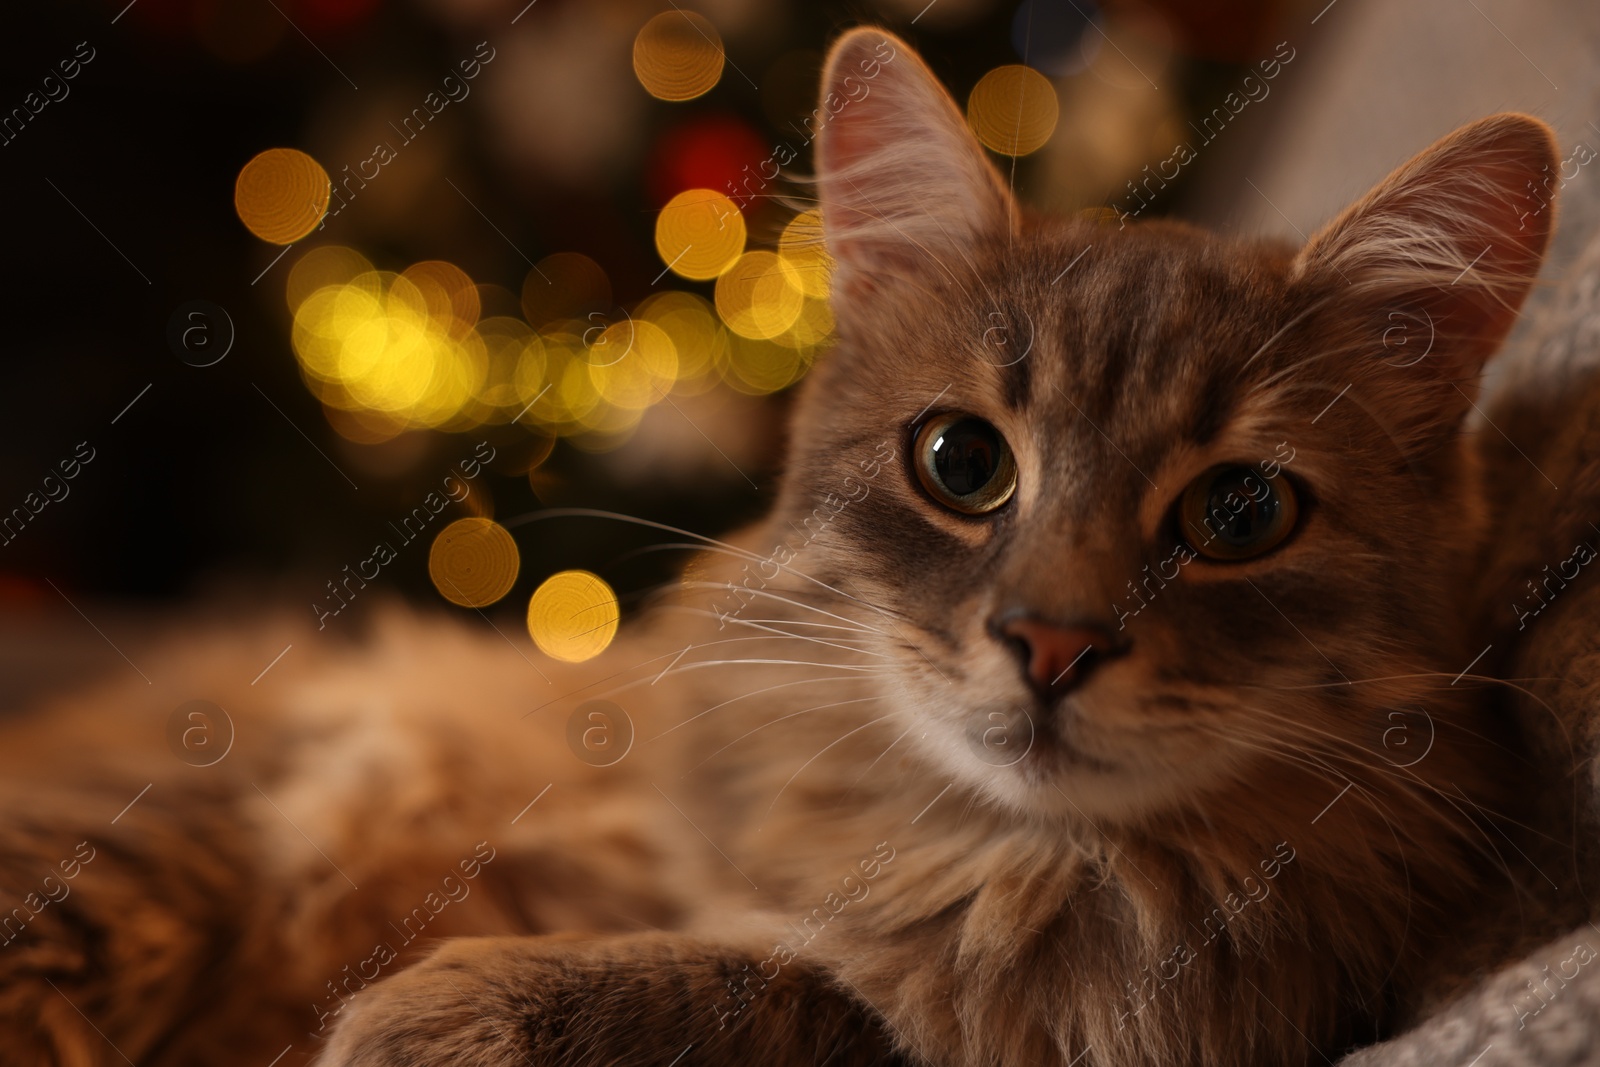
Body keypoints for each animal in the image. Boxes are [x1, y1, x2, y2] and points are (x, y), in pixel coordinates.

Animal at [0, 22, 1561, 1067]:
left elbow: (753, 985)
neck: (975, 853)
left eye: (1240, 515)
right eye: (961, 463)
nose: (1052, 643)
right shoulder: (325, 763)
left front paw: (422, 1009)